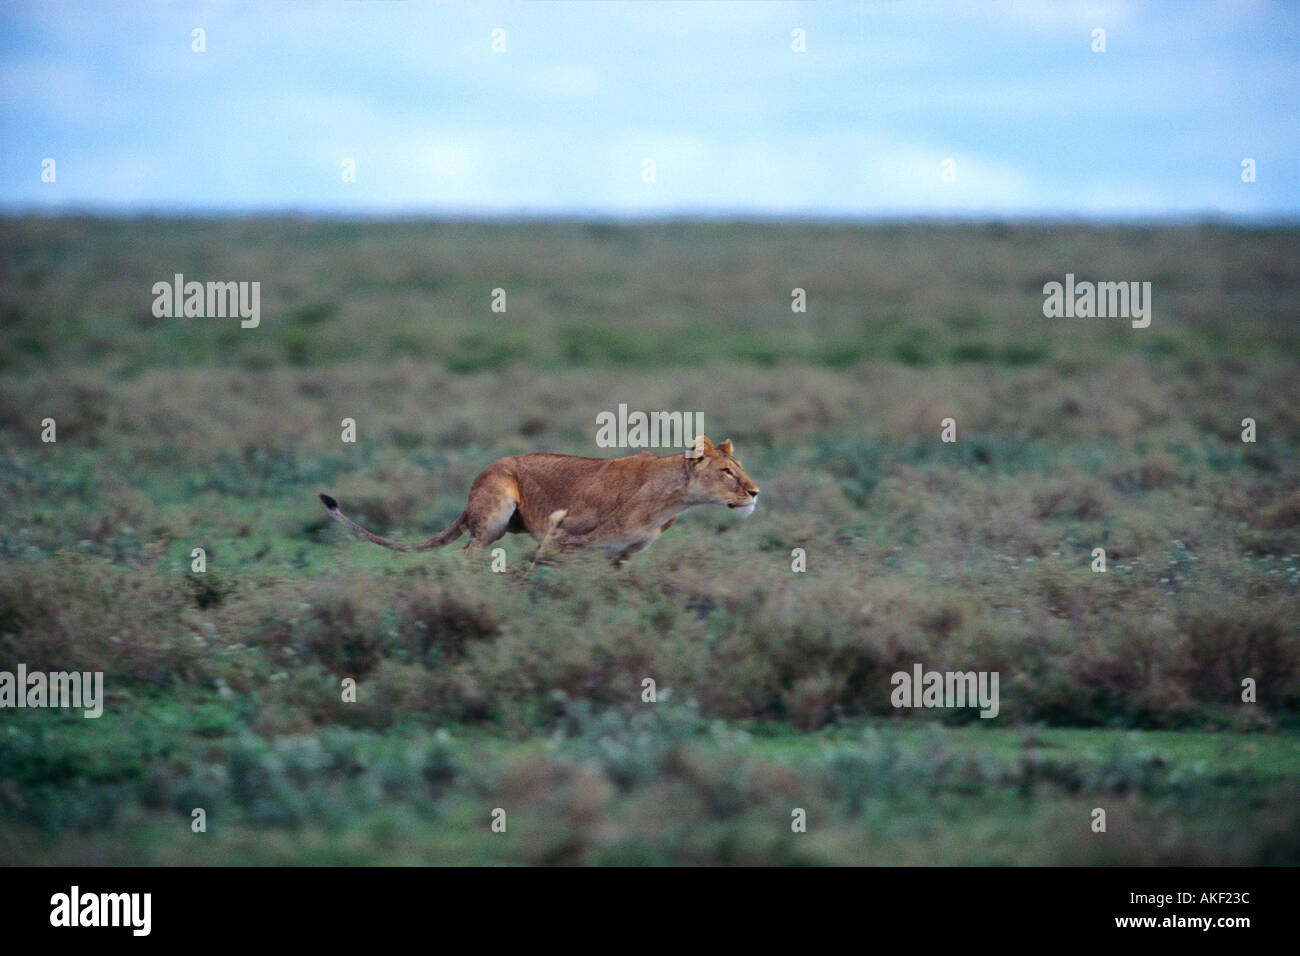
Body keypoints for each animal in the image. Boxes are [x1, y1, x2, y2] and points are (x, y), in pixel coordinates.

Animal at [318, 434, 759, 566]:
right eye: (727, 471)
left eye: (740, 467)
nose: (755, 492)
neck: (670, 500)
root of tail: (480, 474)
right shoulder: (557, 538)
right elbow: (538, 578)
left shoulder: (620, 557)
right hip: (495, 513)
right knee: (465, 554)